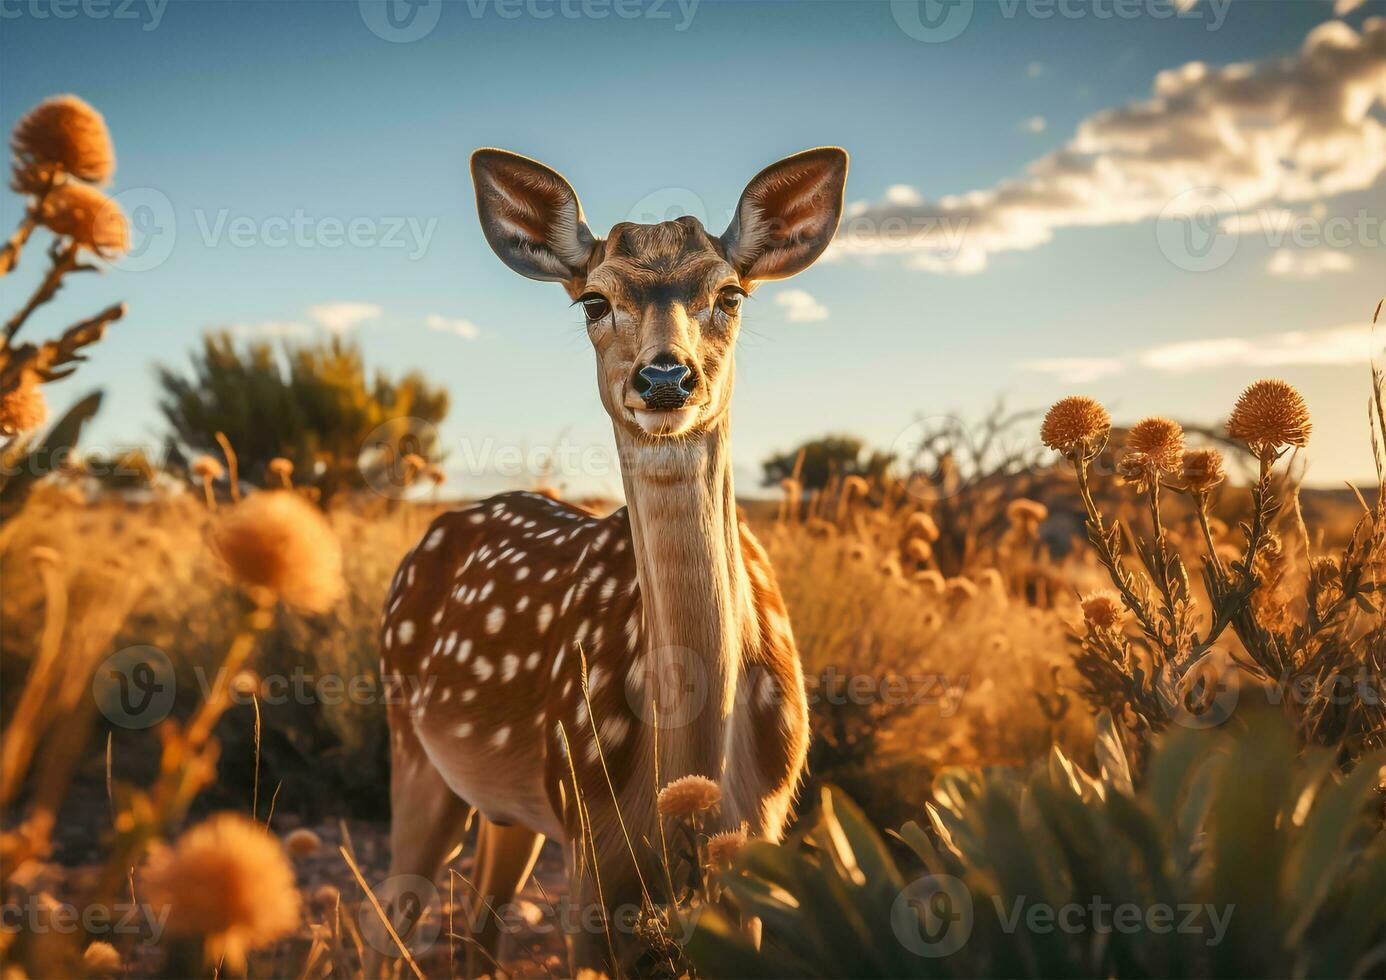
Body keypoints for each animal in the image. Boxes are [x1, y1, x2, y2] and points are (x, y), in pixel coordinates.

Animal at [379, 143, 848, 975]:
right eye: (593, 302)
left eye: (731, 293)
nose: (665, 377)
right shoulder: (592, 853)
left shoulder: (758, 844)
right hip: (412, 743)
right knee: (392, 920)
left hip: (511, 808)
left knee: (479, 929)